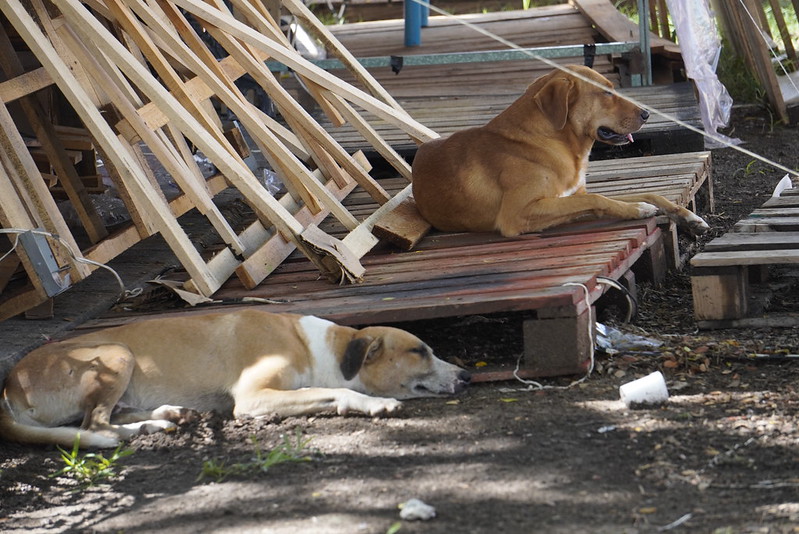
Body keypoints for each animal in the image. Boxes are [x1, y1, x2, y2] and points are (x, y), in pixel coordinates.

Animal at [0, 312, 472, 450]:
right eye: (419, 351)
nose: (467, 376)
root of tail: (8, 387)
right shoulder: (252, 397)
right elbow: (331, 391)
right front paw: (372, 404)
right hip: (117, 353)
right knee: (95, 425)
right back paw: (141, 429)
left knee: (113, 416)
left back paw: (169, 416)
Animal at [416, 65, 708, 237]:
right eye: (605, 93)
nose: (647, 114)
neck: (555, 141)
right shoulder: (518, 213)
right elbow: (599, 199)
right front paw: (637, 209)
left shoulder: (575, 194)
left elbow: (649, 193)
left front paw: (687, 216)